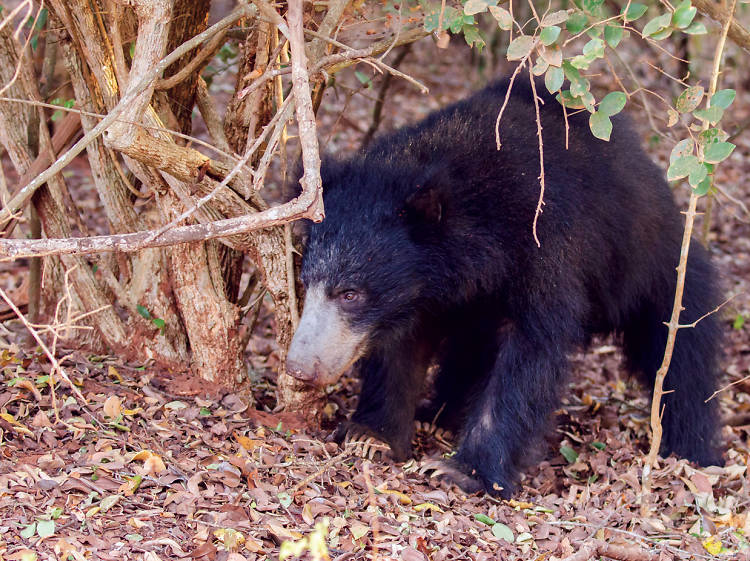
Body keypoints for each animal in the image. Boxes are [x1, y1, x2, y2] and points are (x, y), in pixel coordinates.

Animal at [284, 75, 724, 494]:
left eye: (350, 294)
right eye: (308, 282)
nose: (300, 368)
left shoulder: (548, 245)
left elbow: (530, 352)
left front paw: (459, 470)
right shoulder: (419, 295)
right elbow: (400, 351)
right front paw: (370, 436)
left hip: (655, 274)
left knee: (683, 361)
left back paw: (691, 450)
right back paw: (439, 413)